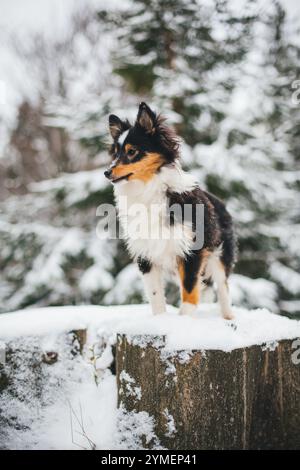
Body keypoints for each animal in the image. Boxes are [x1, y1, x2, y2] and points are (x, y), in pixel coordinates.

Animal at [105, 101, 237, 318]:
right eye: (115, 152)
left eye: (132, 151)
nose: (107, 172)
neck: (149, 190)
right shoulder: (146, 255)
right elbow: (156, 296)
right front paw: (161, 320)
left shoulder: (192, 251)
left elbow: (190, 292)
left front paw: (184, 320)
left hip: (219, 256)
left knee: (223, 287)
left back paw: (228, 317)